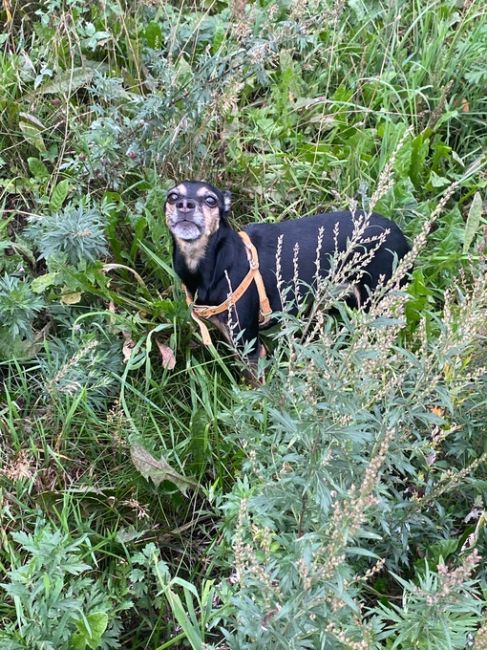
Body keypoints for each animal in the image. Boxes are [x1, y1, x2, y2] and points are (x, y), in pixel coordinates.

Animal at [166, 180, 410, 356]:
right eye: (172, 196)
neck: (213, 263)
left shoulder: (249, 347)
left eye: (210, 200)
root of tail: (402, 237)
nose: (185, 205)